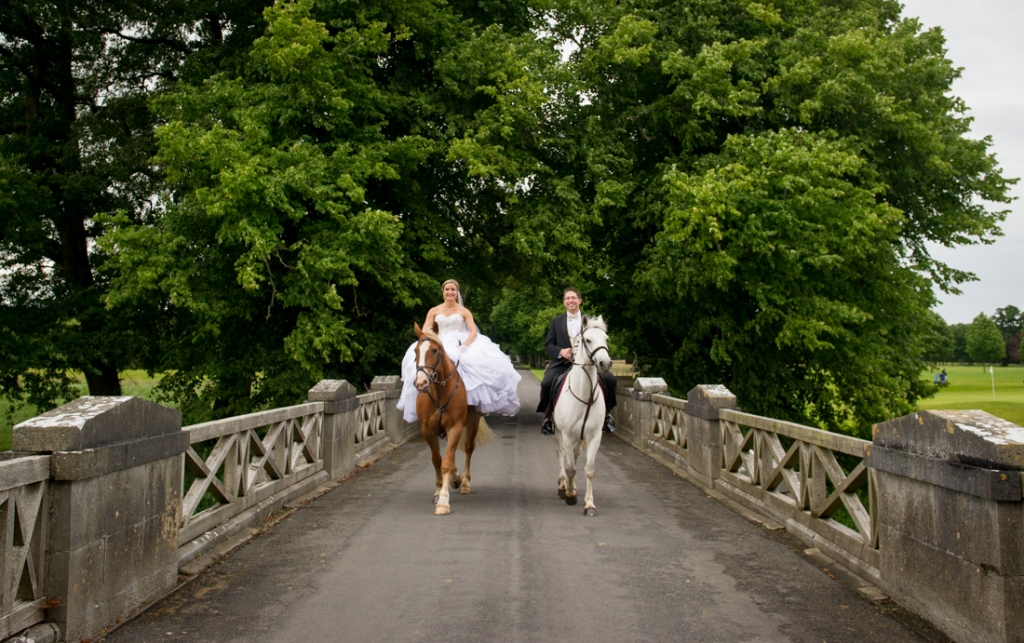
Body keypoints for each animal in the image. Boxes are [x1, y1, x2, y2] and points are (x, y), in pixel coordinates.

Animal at [411, 323, 487, 513]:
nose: (421, 383)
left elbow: (446, 462)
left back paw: (464, 483)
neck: (439, 391)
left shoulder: (455, 427)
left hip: (473, 423)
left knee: (468, 448)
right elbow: (437, 459)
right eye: (416, 350)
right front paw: (439, 490)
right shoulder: (427, 430)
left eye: (435, 350)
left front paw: (443, 501)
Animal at [557, 317, 610, 518]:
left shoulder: (594, 436)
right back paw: (563, 486)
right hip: (559, 434)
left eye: (606, 339)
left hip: (579, 438)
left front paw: (589, 504)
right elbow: (570, 467)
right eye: (587, 340)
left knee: (576, 455)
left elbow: (589, 470)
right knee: (561, 455)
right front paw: (570, 495)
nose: (605, 363)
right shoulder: (566, 434)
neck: (585, 394)